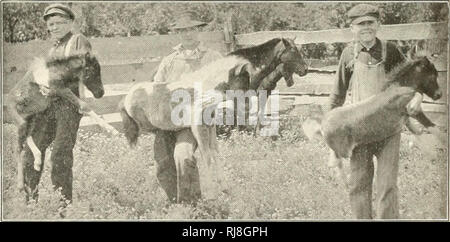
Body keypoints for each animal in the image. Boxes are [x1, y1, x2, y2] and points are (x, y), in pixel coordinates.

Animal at [119, 37, 310, 199]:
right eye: (293, 50)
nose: (305, 69)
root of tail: (126, 98)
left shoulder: (209, 123)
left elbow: (215, 153)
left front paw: (224, 188)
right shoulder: (198, 122)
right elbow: (207, 155)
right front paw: (213, 193)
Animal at [302, 53, 440, 185]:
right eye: (433, 75)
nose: (439, 95)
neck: (399, 87)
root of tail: (322, 123)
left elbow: (416, 125)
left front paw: (420, 132)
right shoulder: (407, 102)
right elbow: (419, 99)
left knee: (334, 163)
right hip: (343, 151)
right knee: (336, 164)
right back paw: (347, 184)